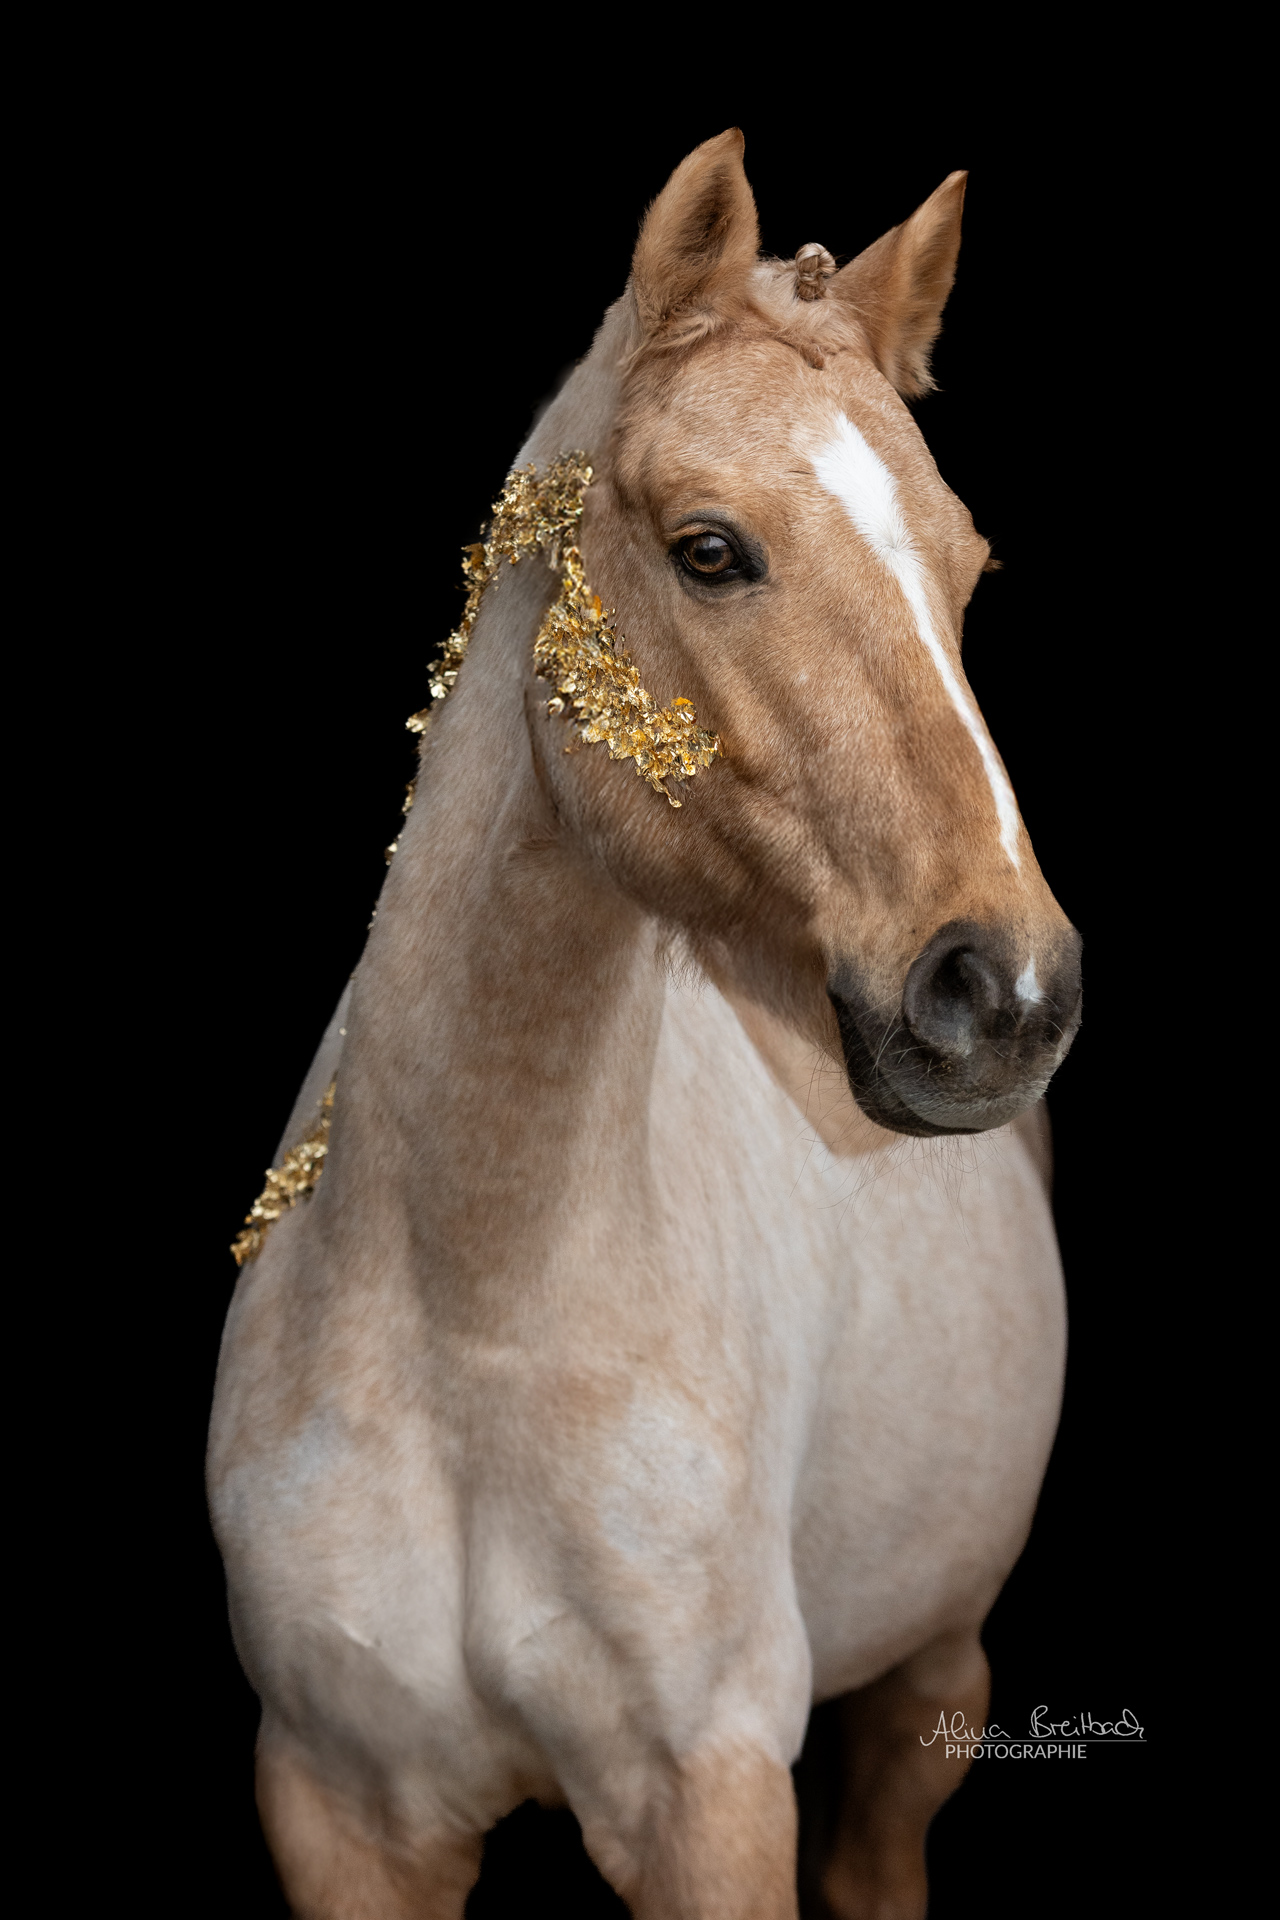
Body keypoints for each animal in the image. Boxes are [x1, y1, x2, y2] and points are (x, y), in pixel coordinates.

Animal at [209, 129, 1082, 1919]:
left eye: (966, 569)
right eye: (710, 549)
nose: (1006, 996)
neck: (464, 1327)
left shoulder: (715, 1803)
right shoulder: (335, 1807)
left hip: (934, 1683)